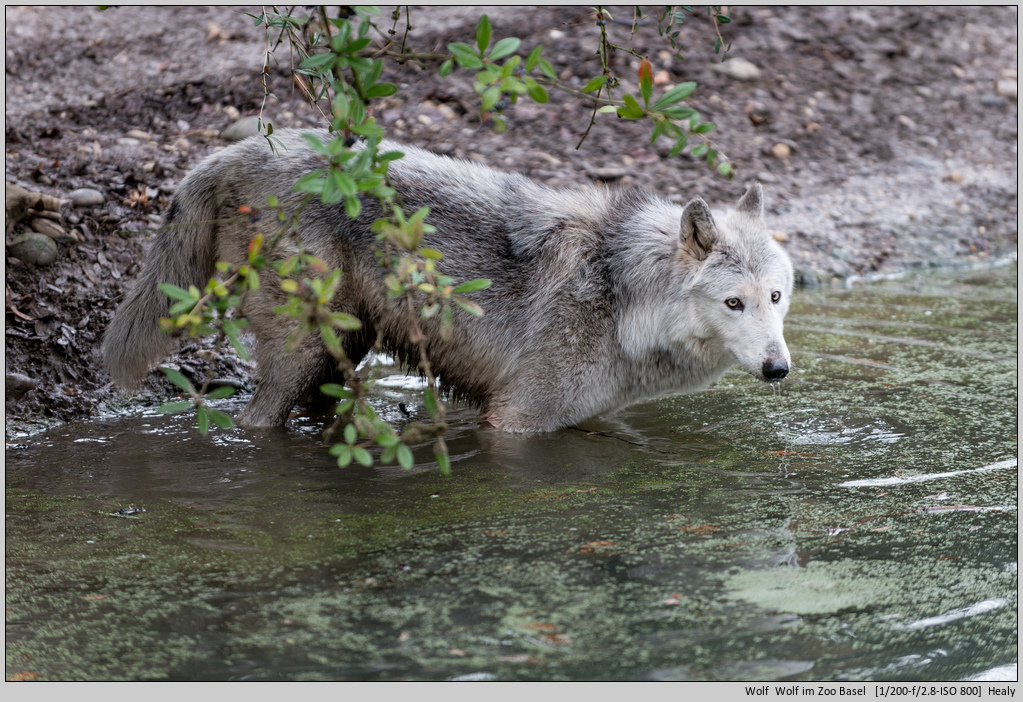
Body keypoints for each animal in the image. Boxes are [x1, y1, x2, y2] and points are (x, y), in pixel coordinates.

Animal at [103, 130, 793, 432]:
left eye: (776, 298)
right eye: (733, 303)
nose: (779, 368)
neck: (620, 293)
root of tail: (236, 148)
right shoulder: (514, 421)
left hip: (341, 351)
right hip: (303, 352)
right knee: (254, 421)